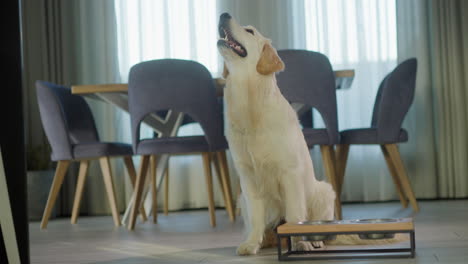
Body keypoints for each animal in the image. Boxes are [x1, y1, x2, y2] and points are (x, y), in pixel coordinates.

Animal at [218, 12, 334, 256]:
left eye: (250, 31)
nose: (224, 14)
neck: (250, 105)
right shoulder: (248, 177)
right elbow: (257, 217)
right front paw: (251, 244)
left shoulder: (290, 172)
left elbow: (294, 215)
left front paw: (299, 243)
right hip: (241, 199)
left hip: (324, 191)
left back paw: (315, 241)